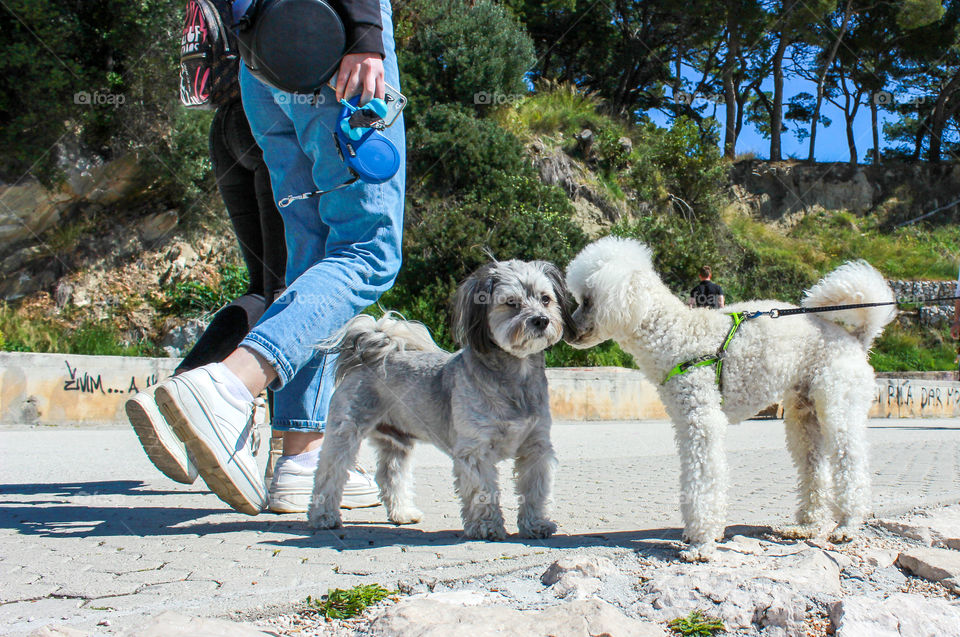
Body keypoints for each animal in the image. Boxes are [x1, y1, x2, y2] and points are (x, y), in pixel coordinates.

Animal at [308, 260, 572, 540]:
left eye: (546, 299)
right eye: (511, 302)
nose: (541, 320)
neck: (516, 377)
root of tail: (369, 356)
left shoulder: (536, 448)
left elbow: (535, 492)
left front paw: (536, 524)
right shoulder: (475, 452)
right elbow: (483, 493)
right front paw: (487, 526)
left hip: (396, 443)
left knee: (391, 476)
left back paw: (402, 512)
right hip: (345, 433)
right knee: (329, 474)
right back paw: (323, 516)